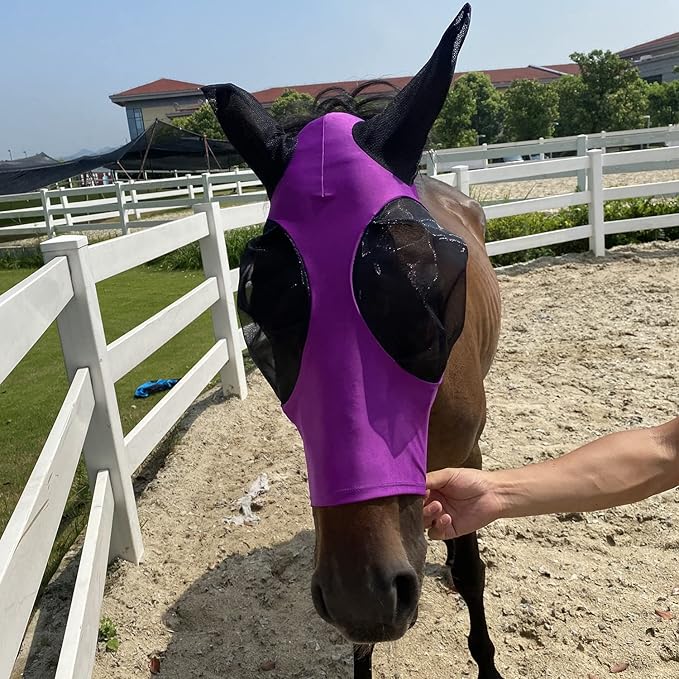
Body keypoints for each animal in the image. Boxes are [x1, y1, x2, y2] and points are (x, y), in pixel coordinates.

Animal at [205, 4, 503, 677]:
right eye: (262, 306)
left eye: (425, 292)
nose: (362, 595)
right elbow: (361, 640)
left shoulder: (465, 460)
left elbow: (470, 573)